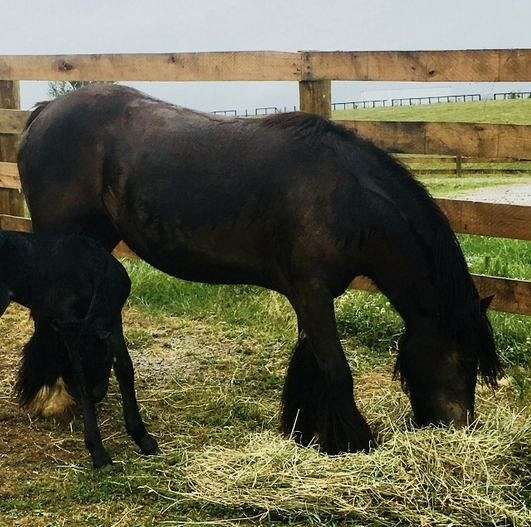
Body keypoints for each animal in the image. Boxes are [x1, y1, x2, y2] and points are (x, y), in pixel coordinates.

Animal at [0, 232, 158, 470]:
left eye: (104, 361)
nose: (97, 393)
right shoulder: (69, 325)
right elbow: (84, 379)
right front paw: (99, 454)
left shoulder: (112, 319)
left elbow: (124, 366)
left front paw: (143, 438)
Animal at [16, 84, 498, 456]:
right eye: (463, 358)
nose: (460, 427)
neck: (344, 196)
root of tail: (43, 114)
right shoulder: (312, 293)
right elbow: (337, 371)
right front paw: (357, 443)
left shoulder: (312, 297)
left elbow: (310, 365)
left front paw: (307, 434)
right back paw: (52, 396)